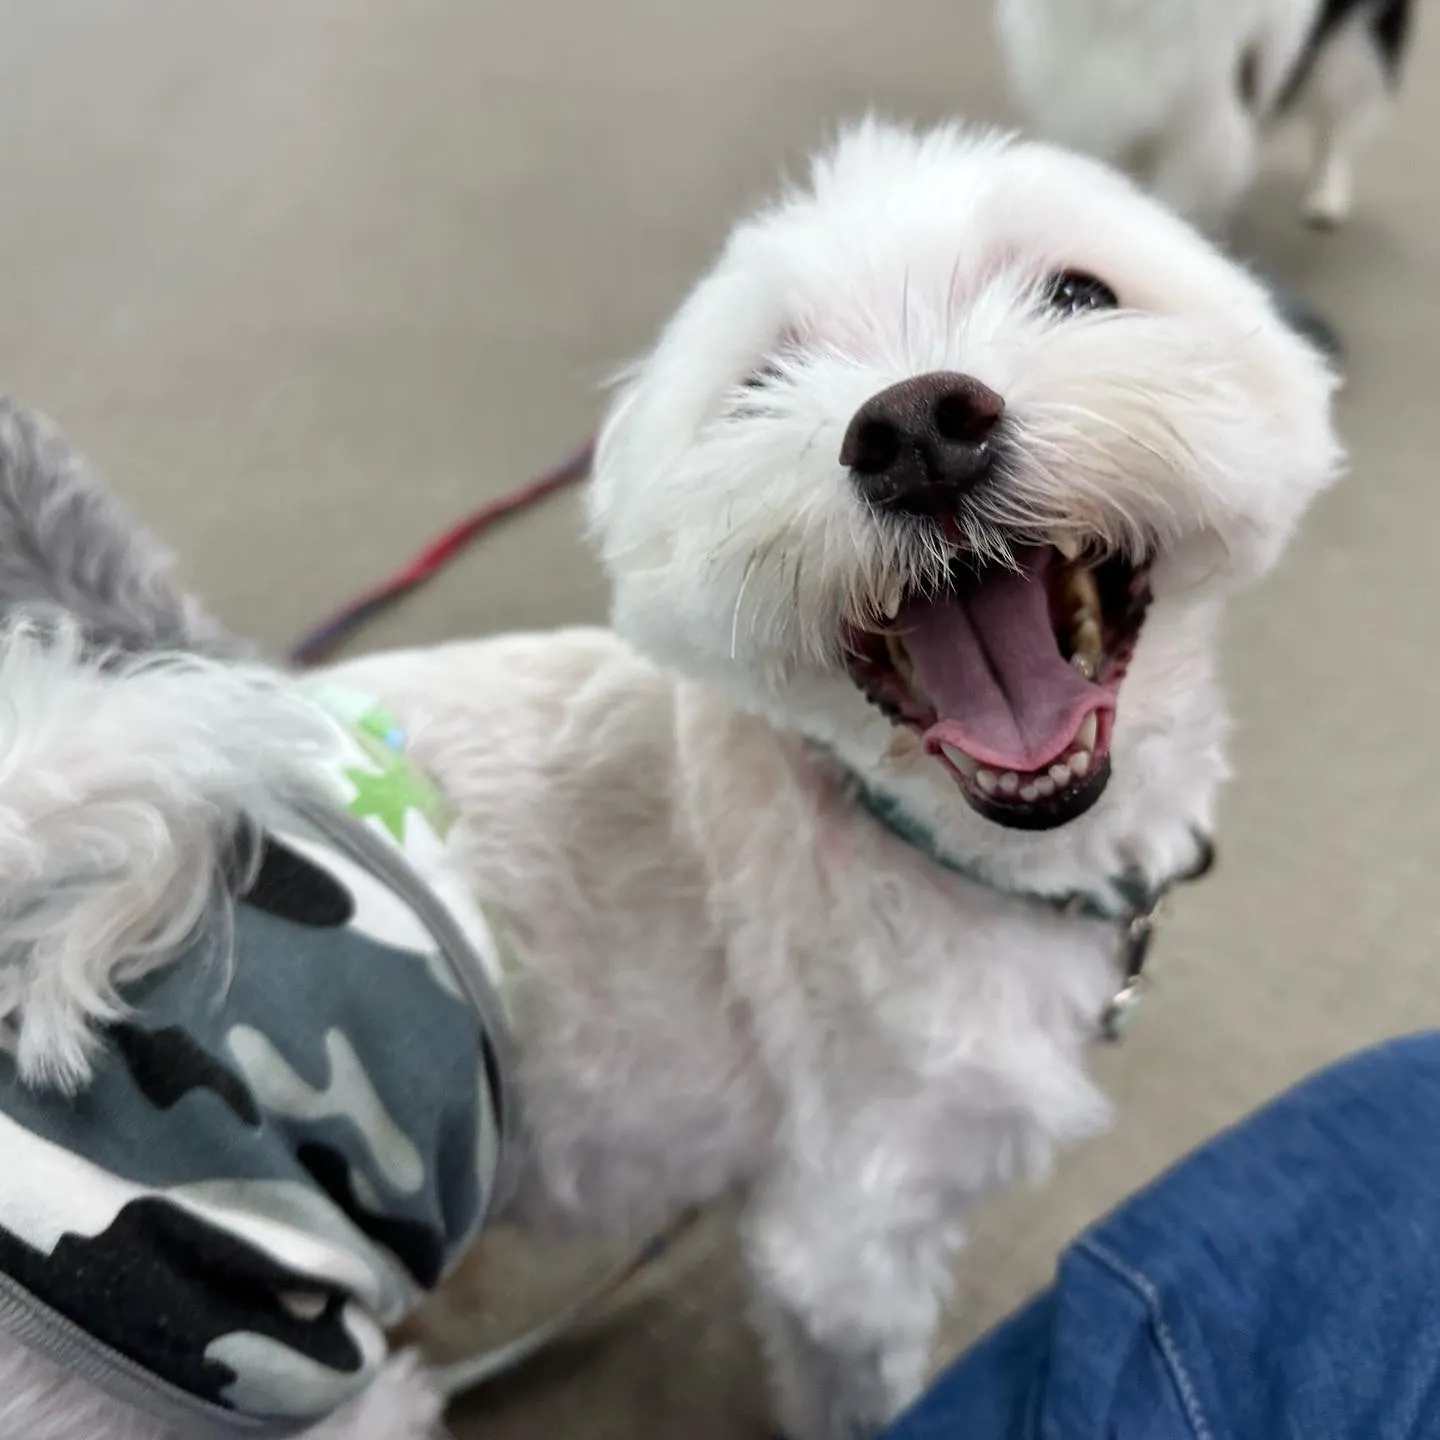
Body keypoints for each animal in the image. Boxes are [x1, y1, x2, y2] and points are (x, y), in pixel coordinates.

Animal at [0, 120, 1336, 1440]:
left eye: (1079, 294)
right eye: (761, 383)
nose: (914, 425)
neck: (950, 848)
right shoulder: (854, 1231)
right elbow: (864, 1382)